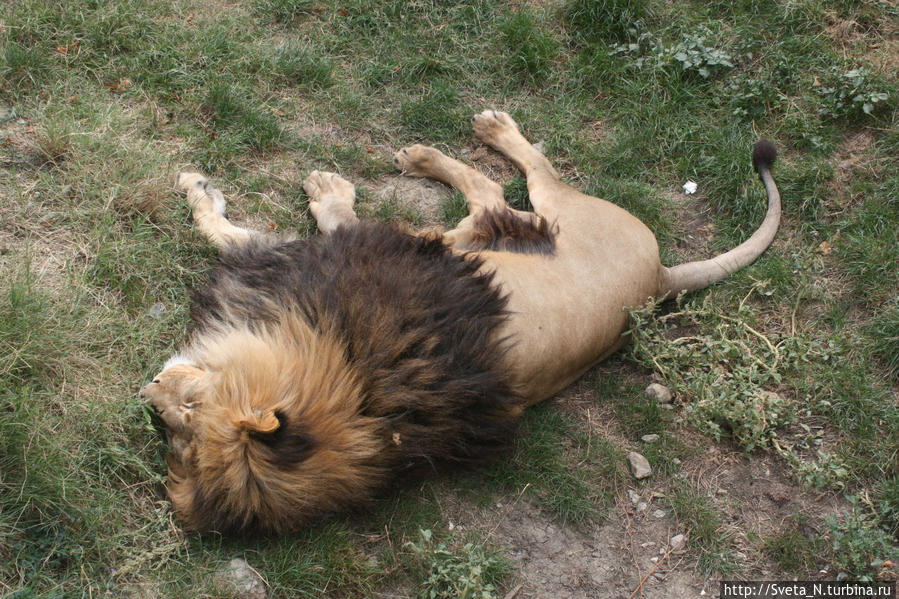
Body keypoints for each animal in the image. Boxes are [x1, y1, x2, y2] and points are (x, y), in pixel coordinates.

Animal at [141, 110, 780, 532]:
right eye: (174, 432)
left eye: (189, 412)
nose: (150, 391)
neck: (355, 383)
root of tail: (661, 277)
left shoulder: (326, 257)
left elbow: (232, 231)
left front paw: (201, 188)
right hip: (512, 232)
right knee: (487, 201)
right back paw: (434, 158)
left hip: (559, 211)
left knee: (523, 174)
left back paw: (471, 136)